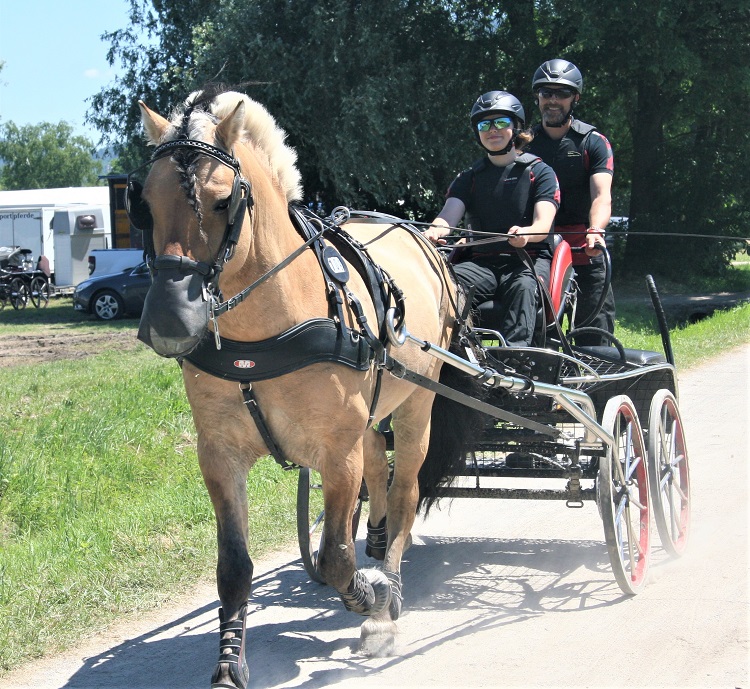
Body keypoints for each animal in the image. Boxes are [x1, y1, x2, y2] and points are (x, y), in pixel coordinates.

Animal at [131, 87, 482, 688]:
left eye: (222, 202)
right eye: (146, 205)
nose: (170, 322)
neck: (265, 334)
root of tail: (422, 239)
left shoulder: (335, 455)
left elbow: (335, 556)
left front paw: (370, 596)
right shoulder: (219, 454)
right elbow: (234, 566)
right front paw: (229, 663)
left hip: (418, 404)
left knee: (406, 490)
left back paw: (387, 593)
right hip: (373, 411)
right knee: (380, 474)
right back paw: (378, 544)